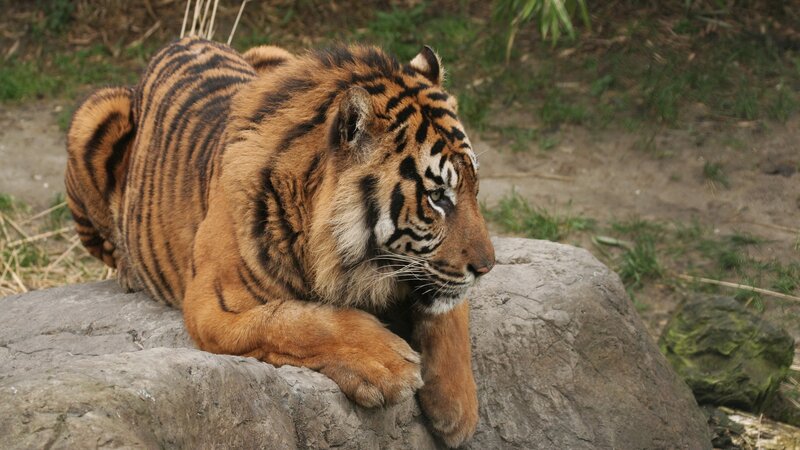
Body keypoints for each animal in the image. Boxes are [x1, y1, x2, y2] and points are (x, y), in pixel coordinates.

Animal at [65, 37, 495, 448]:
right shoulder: (211, 304)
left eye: (474, 187)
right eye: (437, 196)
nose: (488, 267)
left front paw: (458, 410)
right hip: (92, 115)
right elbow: (295, 321)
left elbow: (450, 314)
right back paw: (127, 271)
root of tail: (181, 41)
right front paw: (387, 363)